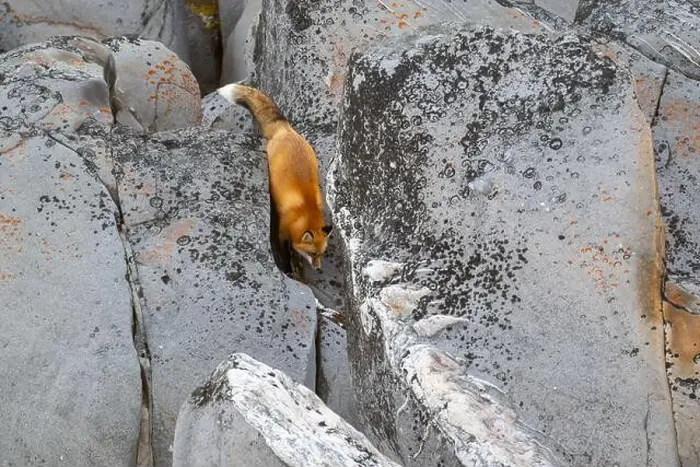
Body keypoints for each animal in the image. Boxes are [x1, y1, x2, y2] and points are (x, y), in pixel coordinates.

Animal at [217, 83, 332, 270]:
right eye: (312, 253)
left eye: (322, 253)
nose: (318, 267)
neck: (305, 212)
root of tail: (285, 128)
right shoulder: (282, 231)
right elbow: (283, 253)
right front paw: (288, 268)